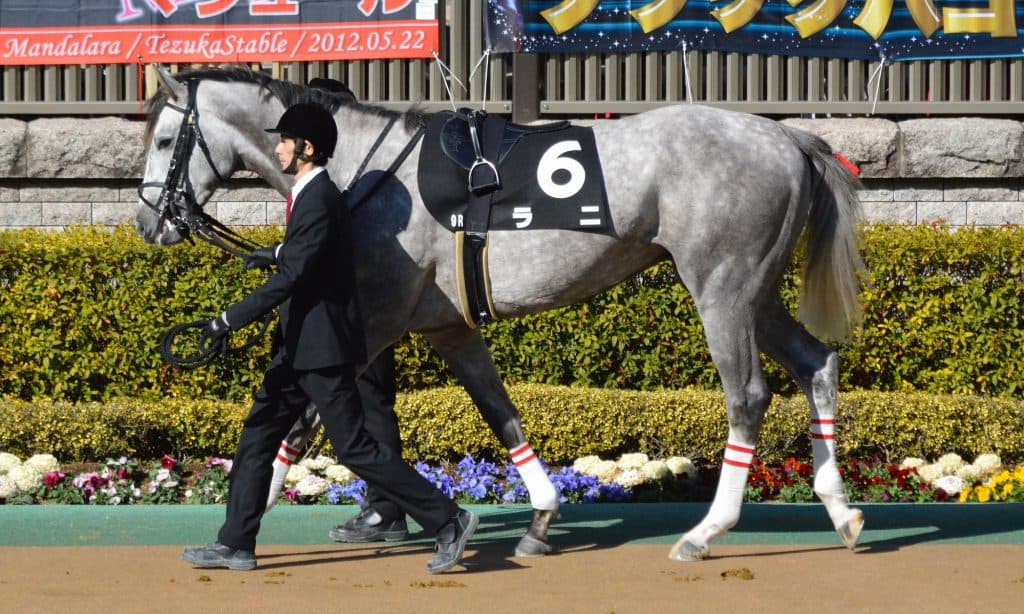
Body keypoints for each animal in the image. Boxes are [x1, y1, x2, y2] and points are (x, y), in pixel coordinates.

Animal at [135, 65, 866, 562]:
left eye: (166, 137)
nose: (148, 221)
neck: (369, 171)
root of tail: (786, 136)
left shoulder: (378, 319)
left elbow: (299, 415)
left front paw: (242, 524)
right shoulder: (446, 325)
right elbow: (498, 409)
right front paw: (539, 519)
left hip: (720, 287)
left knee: (747, 395)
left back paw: (705, 531)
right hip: (756, 294)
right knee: (817, 364)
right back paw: (842, 512)